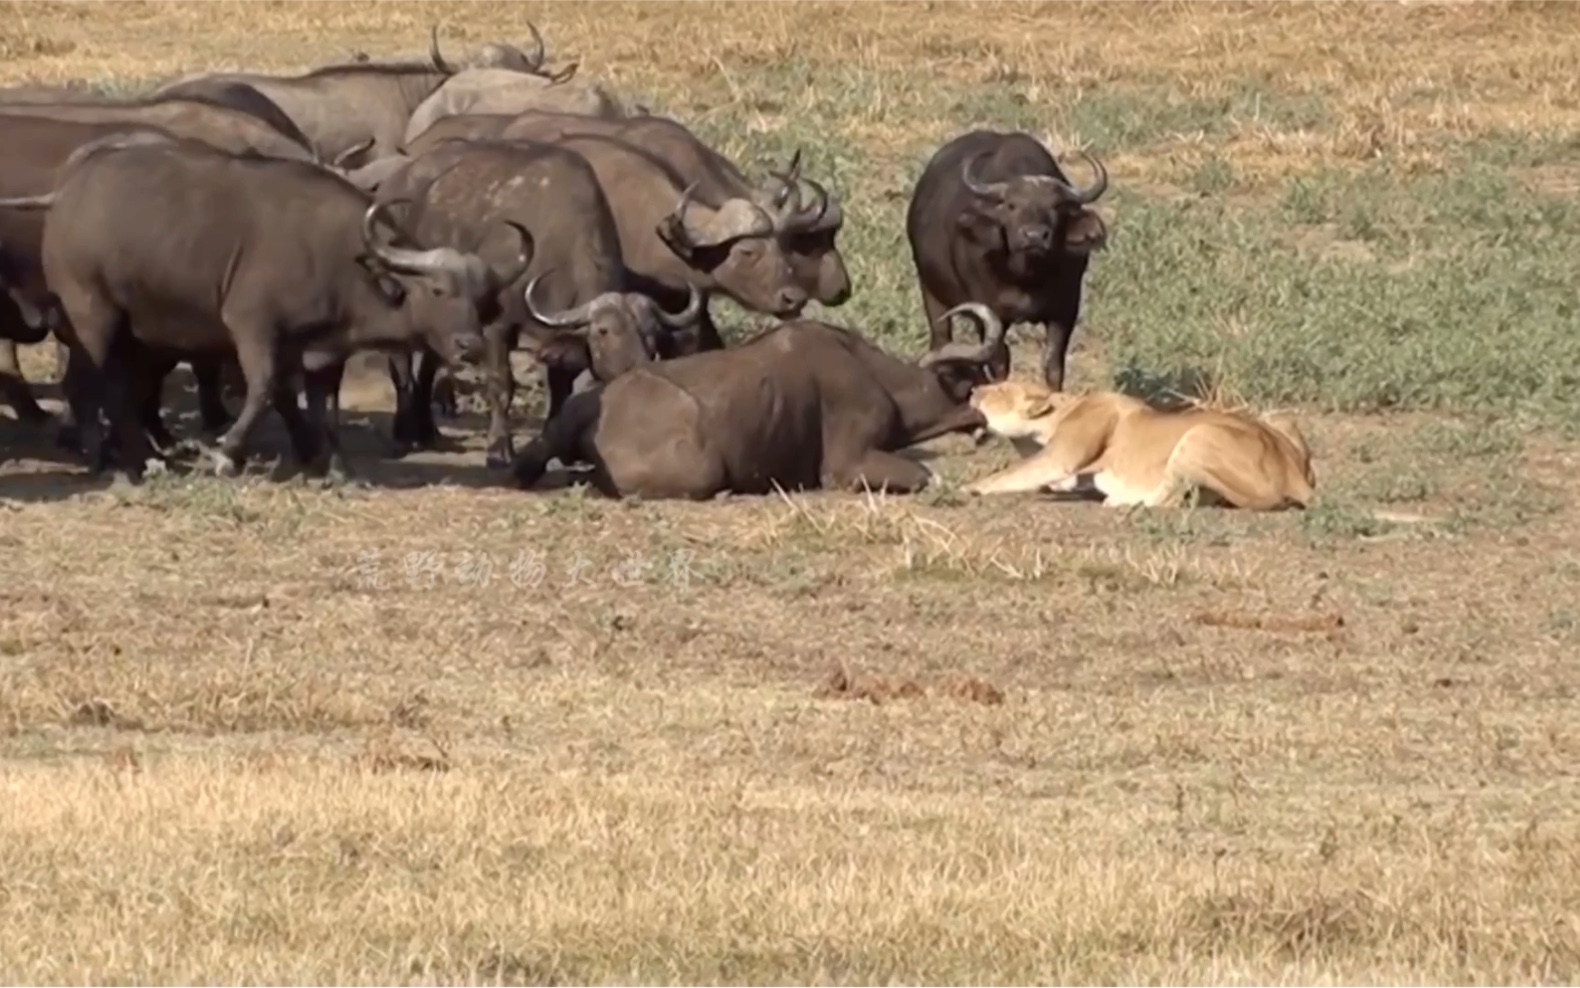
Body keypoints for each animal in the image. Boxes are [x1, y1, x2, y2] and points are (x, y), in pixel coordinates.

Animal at [0, 135, 530, 480]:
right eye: (438, 291)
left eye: (483, 301)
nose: (468, 346)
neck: (341, 258)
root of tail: (68, 191)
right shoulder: (253, 328)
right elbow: (264, 390)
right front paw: (228, 454)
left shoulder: (326, 351)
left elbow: (324, 406)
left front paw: (336, 464)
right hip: (94, 314)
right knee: (98, 382)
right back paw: (124, 458)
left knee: (107, 384)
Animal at [371, 136, 704, 464]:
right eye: (603, 331)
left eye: (652, 334)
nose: (637, 368)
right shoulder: (496, 326)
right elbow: (501, 383)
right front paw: (499, 448)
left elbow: (560, 386)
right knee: (401, 362)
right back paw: (404, 432)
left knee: (429, 361)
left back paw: (426, 431)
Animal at [903, 130, 1112, 388]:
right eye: (1012, 205)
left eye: (1056, 207)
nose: (1034, 236)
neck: (1025, 275)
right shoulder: (991, 313)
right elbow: (999, 361)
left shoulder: (1065, 310)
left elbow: (1053, 363)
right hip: (932, 293)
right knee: (941, 338)